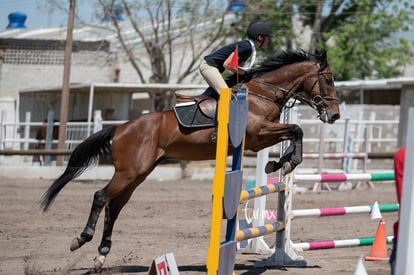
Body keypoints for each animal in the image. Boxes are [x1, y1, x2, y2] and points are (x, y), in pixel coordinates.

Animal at [41, 49, 340, 270]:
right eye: (328, 80)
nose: (335, 115)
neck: (263, 93)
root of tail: (120, 129)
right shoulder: (258, 135)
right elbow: (297, 129)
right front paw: (285, 162)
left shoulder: (263, 137)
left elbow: (294, 133)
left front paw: (279, 163)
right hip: (129, 172)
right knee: (101, 197)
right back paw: (81, 239)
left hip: (138, 174)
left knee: (115, 207)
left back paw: (101, 255)